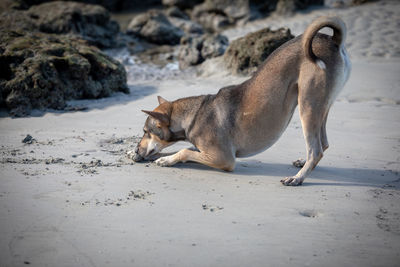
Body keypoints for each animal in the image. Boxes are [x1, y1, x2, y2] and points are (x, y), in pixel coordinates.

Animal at [128, 15, 350, 185]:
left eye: (146, 132)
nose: (137, 149)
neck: (192, 115)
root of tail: (333, 40)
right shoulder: (203, 150)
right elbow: (181, 150)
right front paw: (157, 156)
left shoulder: (223, 158)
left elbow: (183, 150)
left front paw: (166, 159)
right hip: (320, 107)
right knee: (323, 143)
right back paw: (302, 163)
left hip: (307, 107)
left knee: (316, 150)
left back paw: (298, 177)